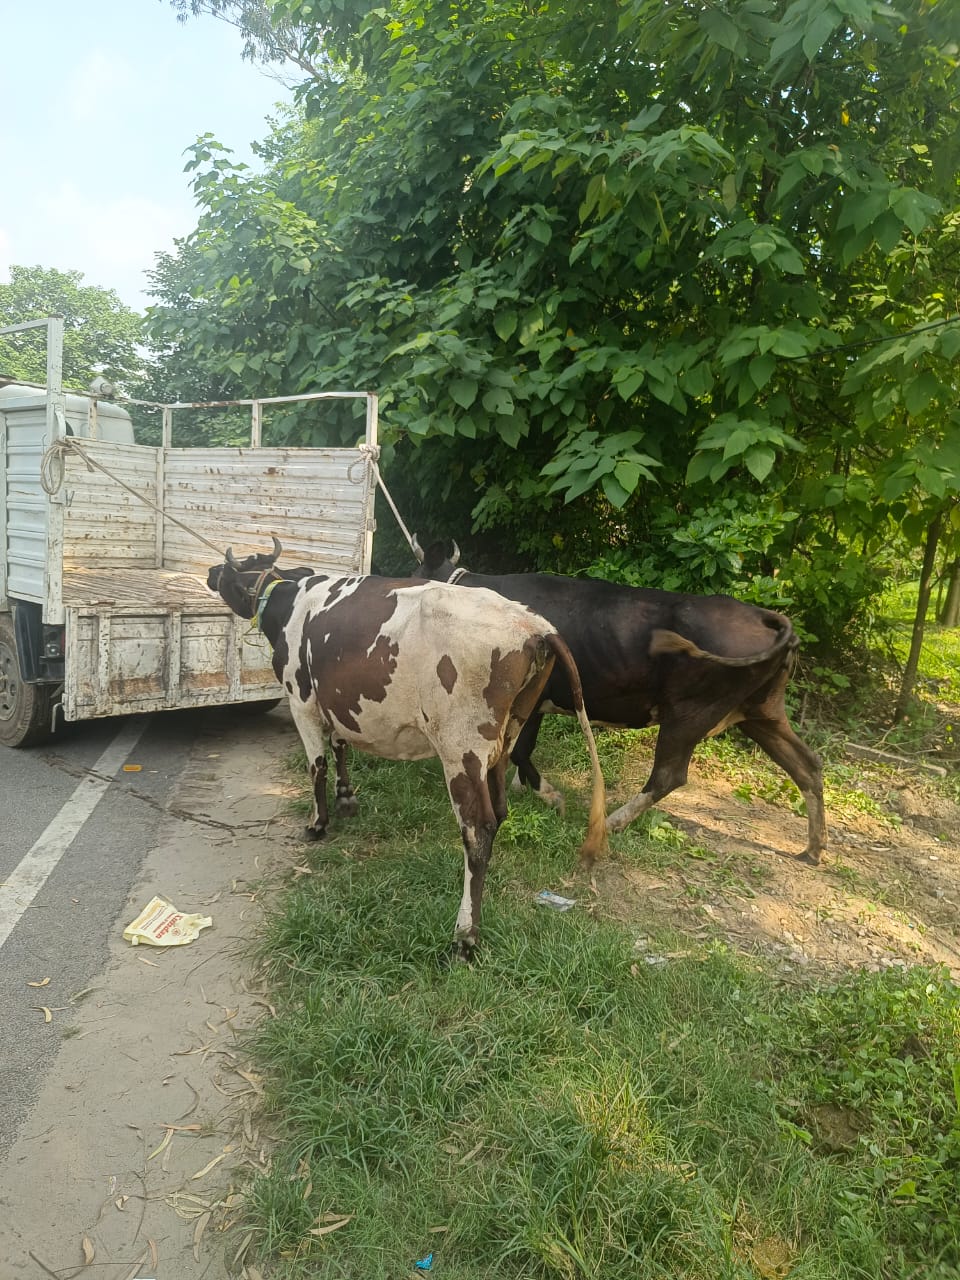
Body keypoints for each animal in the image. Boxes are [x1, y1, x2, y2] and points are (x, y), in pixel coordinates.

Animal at [208, 542, 609, 962]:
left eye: (234, 571)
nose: (210, 571)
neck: (289, 601)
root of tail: (533, 625)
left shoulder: (302, 699)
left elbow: (316, 765)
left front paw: (317, 823)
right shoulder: (338, 703)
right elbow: (339, 746)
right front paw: (346, 799)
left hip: (461, 748)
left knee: (478, 828)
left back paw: (465, 936)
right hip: (504, 738)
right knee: (499, 811)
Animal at [414, 535, 829, 865]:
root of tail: (764, 617)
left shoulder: (530, 697)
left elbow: (519, 751)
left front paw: (550, 796)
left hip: (691, 711)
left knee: (668, 775)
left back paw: (611, 821)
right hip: (762, 711)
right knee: (807, 765)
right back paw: (812, 849)